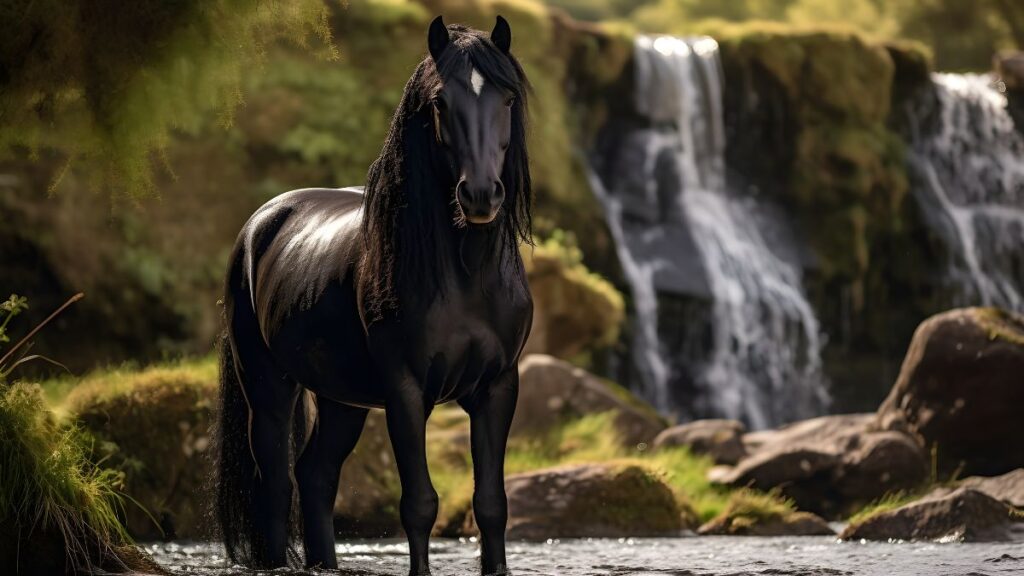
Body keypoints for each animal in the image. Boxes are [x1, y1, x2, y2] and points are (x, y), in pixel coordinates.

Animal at [214, 15, 532, 576]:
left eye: (508, 99)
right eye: (440, 102)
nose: (480, 196)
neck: (466, 275)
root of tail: (259, 224)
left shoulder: (497, 387)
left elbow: (492, 504)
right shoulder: (405, 390)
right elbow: (420, 504)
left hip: (342, 400)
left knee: (316, 476)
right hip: (268, 388)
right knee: (276, 485)